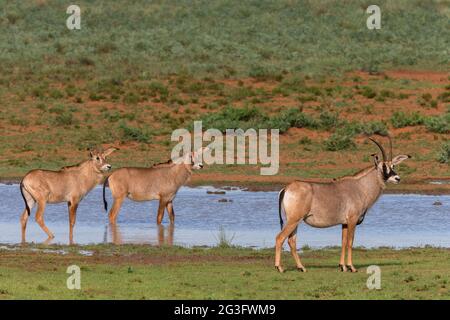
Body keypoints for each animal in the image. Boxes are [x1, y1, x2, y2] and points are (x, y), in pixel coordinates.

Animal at [274, 136, 412, 274]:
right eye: (383, 166)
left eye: (393, 165)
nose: (397, 178)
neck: (360, 187)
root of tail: (286, 188)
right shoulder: (352, 220)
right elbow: (350, 242)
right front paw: (352, 267)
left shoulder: (344, 223)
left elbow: (343, 242)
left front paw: (342, 266)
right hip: (294, 220)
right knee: (280, 238)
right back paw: (279, 267)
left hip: (295, 221)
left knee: (292, 240)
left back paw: (301, 267)